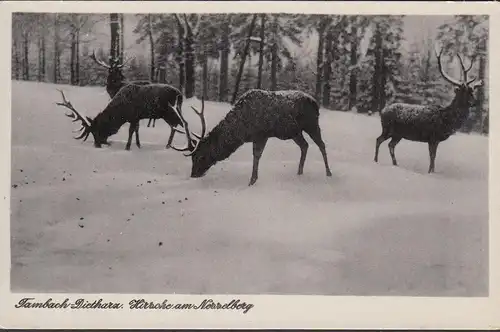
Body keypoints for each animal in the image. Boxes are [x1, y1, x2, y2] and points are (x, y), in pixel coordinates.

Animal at [54, 83, 187, 150]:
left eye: (96, 130)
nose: (97, 144)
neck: (121, 114)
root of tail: (180, 94)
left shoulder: (133, 116)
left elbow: (131, 131)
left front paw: (128, 147)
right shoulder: (136, 118)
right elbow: (137, 130)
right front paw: (138, 144)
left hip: (169, 112)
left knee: (179, 124)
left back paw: (169, 145)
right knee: (179, 124)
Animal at [168, 89, 332, 185]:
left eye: (201, 156)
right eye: (192, 158)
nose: (193, 174)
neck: (242, 130)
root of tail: (315, 102)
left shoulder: (261, 134)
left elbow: (256, 155)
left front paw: (252, 181)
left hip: (312, 124)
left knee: (322, 145)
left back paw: (328, 173)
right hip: (294, 132)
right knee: (305, 145)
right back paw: (299, 172)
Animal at [376, 43, 484, 174]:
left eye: (472, 91)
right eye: (464, 92)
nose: (475, 103)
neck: (447, 120)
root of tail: (382, 111)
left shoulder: (435, 139)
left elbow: (434, 156)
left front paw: (432, 171)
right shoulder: (432, 137)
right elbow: (432, 156)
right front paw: (430, 172)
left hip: (398, 134)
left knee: (390, 145)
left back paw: (395, 164)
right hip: (388, 129)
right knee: (379, 140)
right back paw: (376, 160)